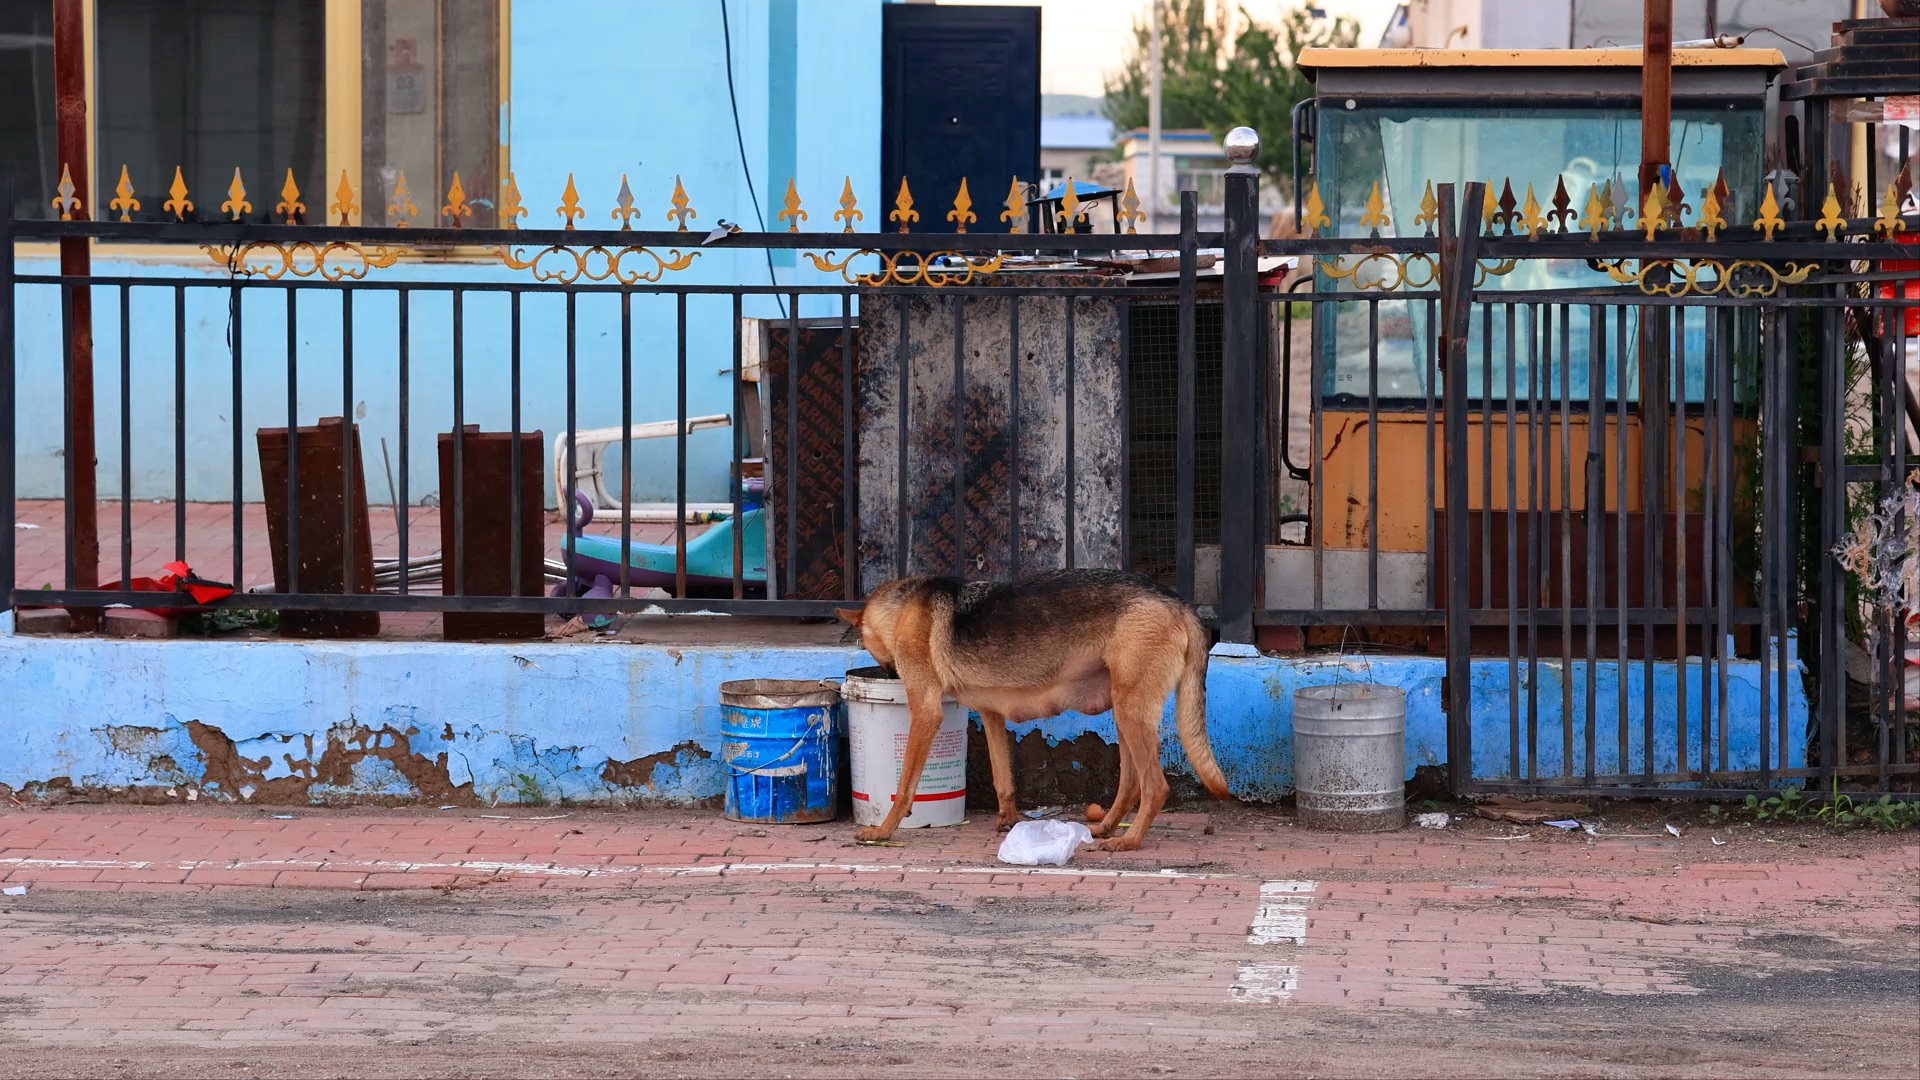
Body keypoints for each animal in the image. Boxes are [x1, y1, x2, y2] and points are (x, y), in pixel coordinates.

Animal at [829, 568, 1221, 845]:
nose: (888, 675)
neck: (901, 609)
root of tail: (1179, 602)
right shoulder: (991, 715)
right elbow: (1003, 778)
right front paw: (1009, 820)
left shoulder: (926, 713)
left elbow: (904, 787)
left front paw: (883, 831)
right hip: (1124, 714)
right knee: (1131, 786)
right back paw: (1106, 828)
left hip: (1131, 713)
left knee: (1155, 787)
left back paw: (1129, 841)